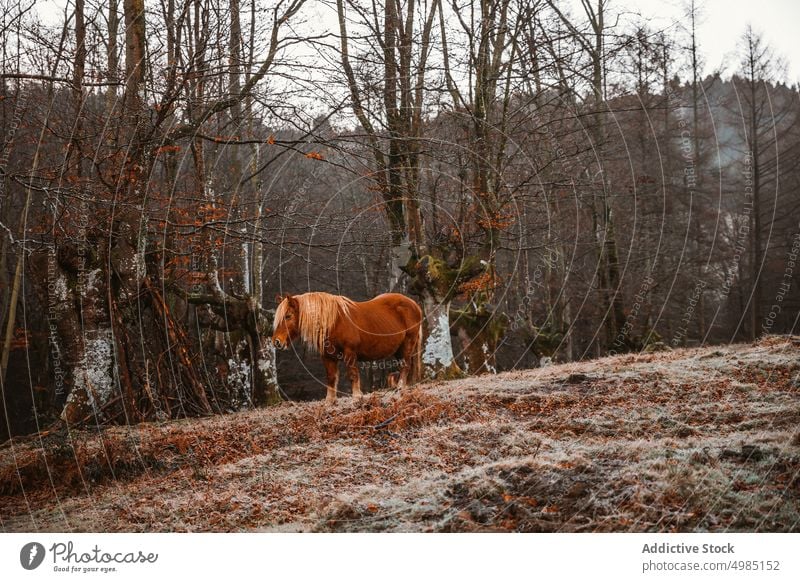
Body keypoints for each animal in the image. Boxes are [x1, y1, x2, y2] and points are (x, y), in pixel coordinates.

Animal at [274, 294, 424, 404]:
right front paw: (330, 401)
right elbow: (331, 377)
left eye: (288, 316)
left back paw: (400, 388)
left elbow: (352, 375)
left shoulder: (350, 353)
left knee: (405, 366)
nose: (276, 341)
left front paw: (357, 397)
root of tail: (415, 305)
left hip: (407, 344)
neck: (334, 322)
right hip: (398, 350)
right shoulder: (327, 357)